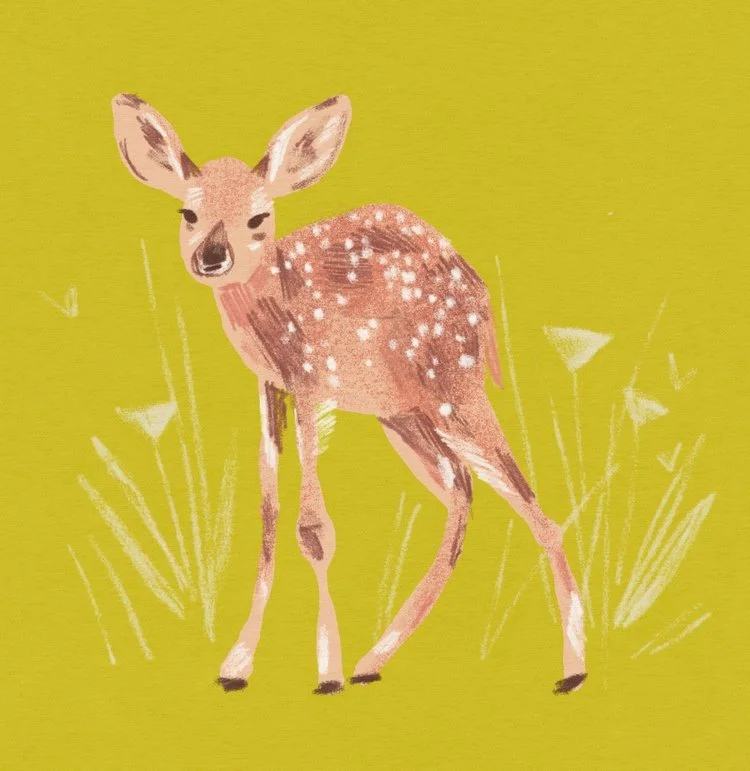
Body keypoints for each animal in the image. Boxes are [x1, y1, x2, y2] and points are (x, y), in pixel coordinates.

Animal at [111, 92, 587, 696]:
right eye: (187, 214)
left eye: (259, 217)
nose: (212, 257)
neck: (274, 305)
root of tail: (480, 299)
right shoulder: (271, 384)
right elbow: (268, 516)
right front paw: (237, 666)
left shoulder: (312, 379)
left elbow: (313, 529)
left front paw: (325, 672)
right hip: (404, 412)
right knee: (463, 491)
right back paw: (373, 659)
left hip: (452, 384)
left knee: (530, 506)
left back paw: (572, 670)